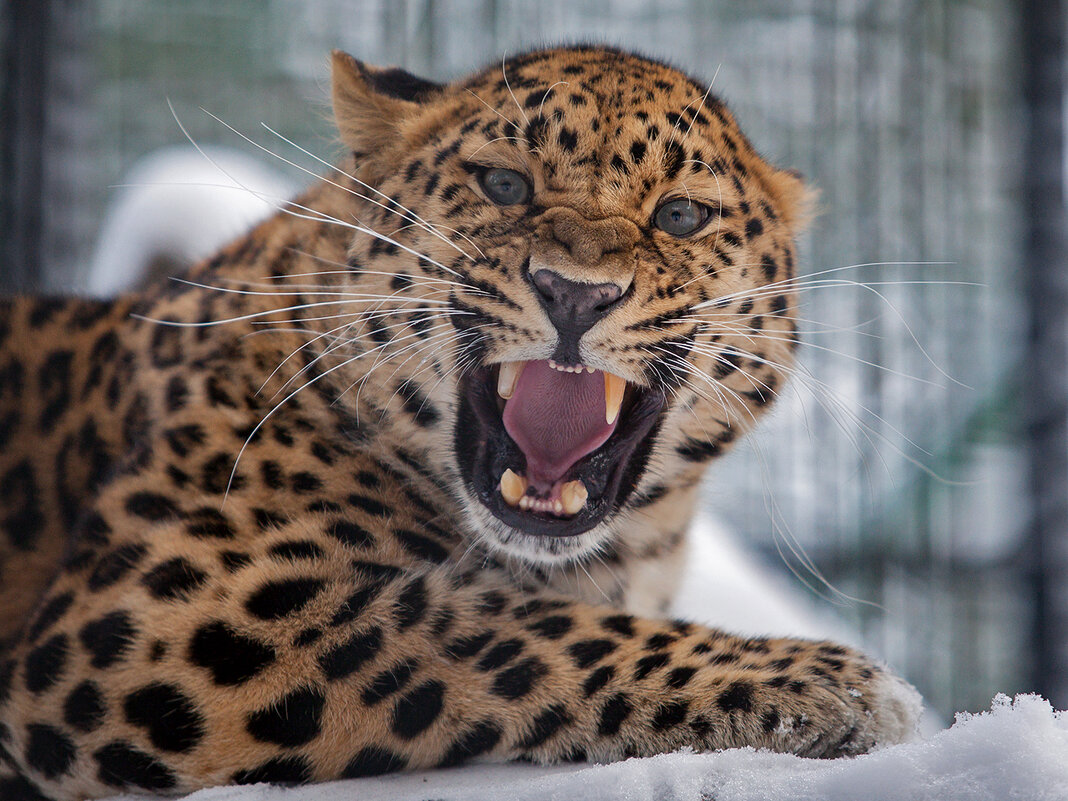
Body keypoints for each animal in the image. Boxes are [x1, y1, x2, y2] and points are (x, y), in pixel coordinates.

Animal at [0, 46, 918, 798]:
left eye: (680, 215)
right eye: (505, 185)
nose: (575, 293)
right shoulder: (157, 610)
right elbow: (491, 627)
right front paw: (829, 684)